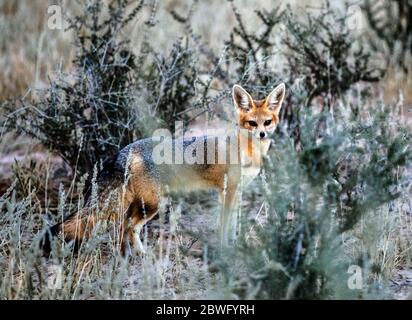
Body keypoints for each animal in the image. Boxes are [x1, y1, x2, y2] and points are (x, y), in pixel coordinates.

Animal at [42, 82, 286, 255]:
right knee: (128, 226)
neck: (247, 150)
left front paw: (234, 246)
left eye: (267, 122)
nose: (262, 134)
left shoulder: (236, 192)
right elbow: (225, 225)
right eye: (252, 123)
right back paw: (133, 256)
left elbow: (233, 224)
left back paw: (133, 255)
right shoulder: (228, 191)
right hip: (152, 204)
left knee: (125, 227)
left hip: (142, 203)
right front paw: (226, 249)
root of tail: (126, 150)